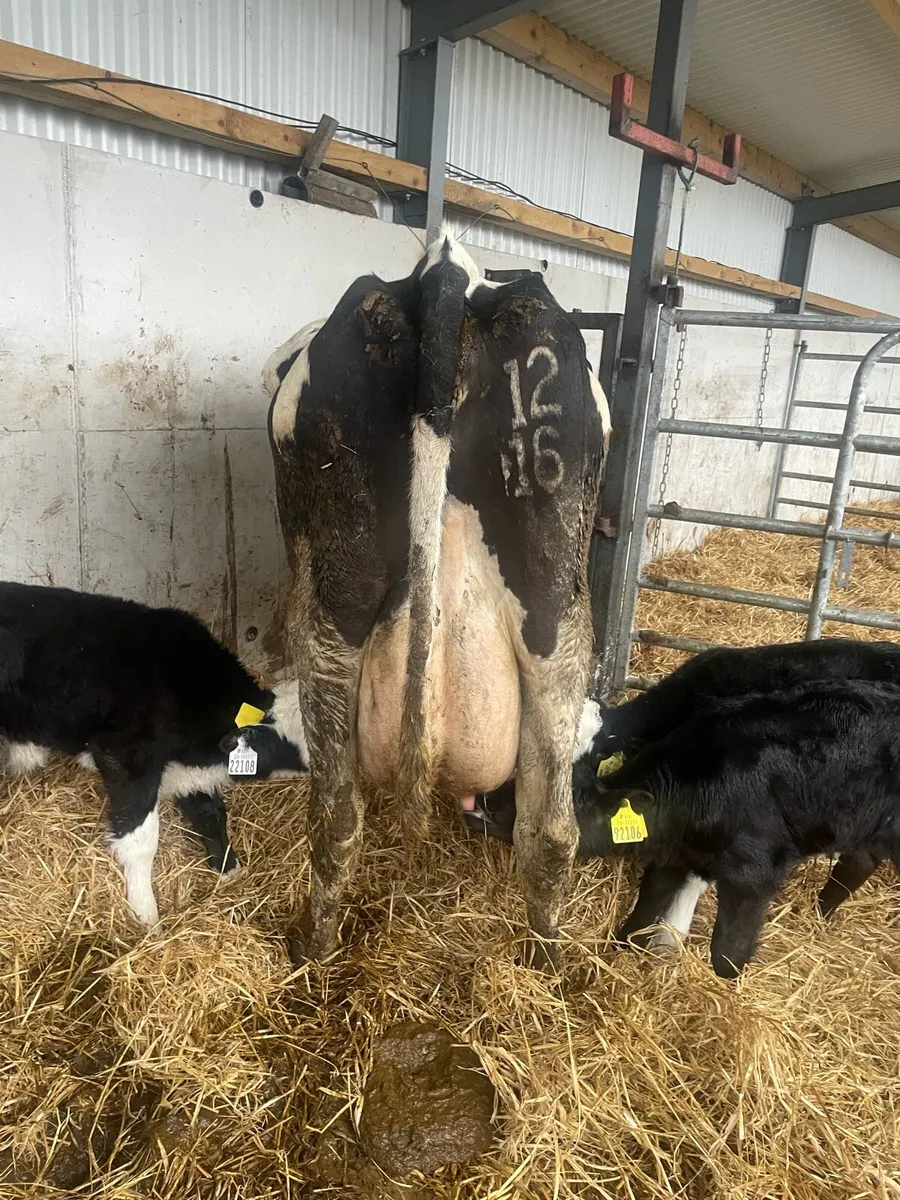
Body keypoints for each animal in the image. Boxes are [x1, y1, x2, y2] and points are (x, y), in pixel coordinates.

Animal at [263, 231, 609, 968]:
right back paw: (547, 960)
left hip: (330, 607)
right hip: (557, 610)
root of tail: (446, 269)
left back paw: (313, 949)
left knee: (335, 816)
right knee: (550, 829)